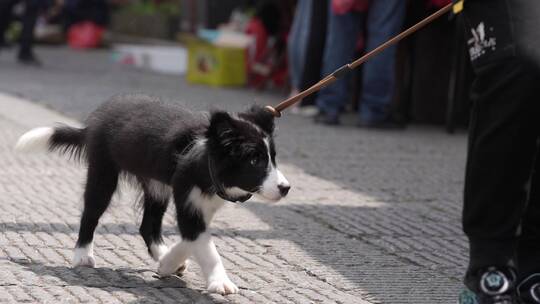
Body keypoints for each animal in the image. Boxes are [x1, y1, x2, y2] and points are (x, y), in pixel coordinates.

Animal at [14, 94, 288, 294]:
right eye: (254, 160)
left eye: (273, 158)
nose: (286, 188)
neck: (205, 156)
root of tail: (94, 123)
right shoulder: (187, 198)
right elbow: (203, 244)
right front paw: (220, 282)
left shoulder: (201, 203)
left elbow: (194, 238)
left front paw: (168, 262)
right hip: (104, 171)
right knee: (90, 213)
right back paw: (82, 255)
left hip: (157, 186)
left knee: (148, 225)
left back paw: (162, 254)